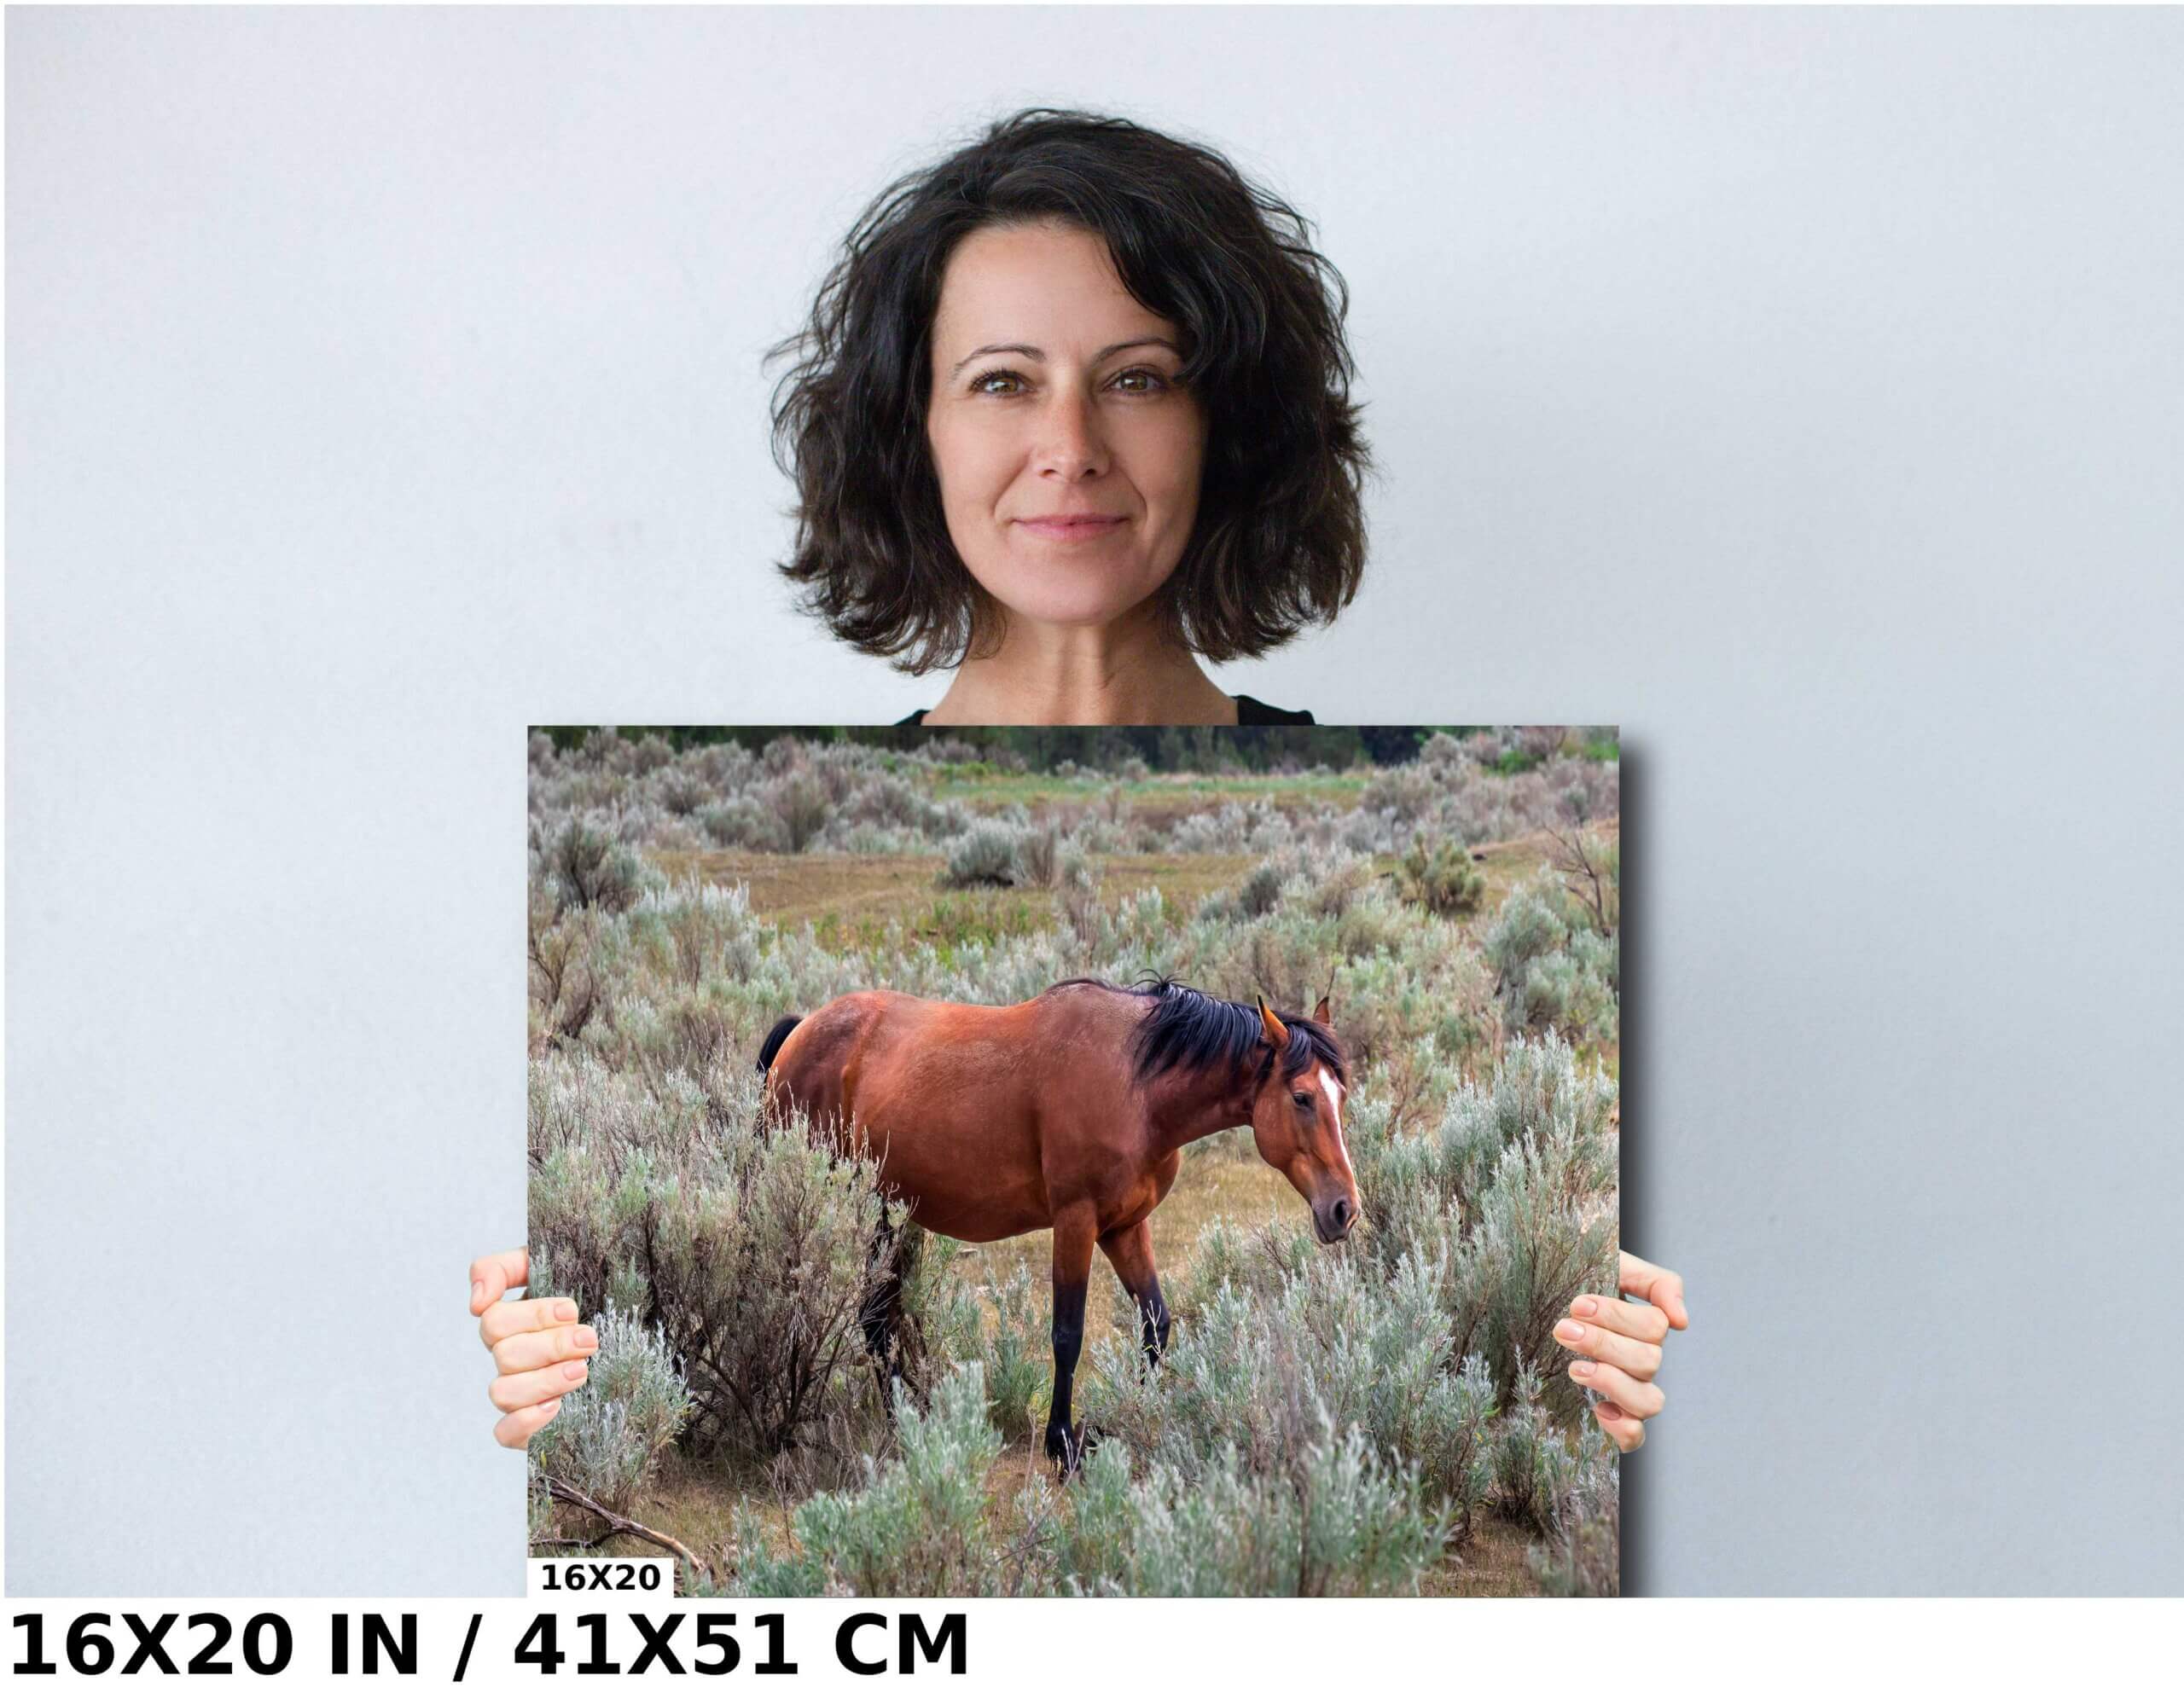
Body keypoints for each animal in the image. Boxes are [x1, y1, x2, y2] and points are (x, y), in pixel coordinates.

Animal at [753, 975, 1357, 1469]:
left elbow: (1156, 1325)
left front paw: (1139, 1417)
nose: (1344, 1209)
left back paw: (918, 1418)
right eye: (1302, 1097)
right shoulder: (1076, 1222)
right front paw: (1062, 1443)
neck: (1135, 1084)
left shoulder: (1125, 1226)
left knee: (880, 1316)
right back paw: (904, 1426)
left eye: (1341, 1094)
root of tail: (803, 1029)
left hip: (894, 1213)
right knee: (873, 1316)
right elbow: (1068, 1334)